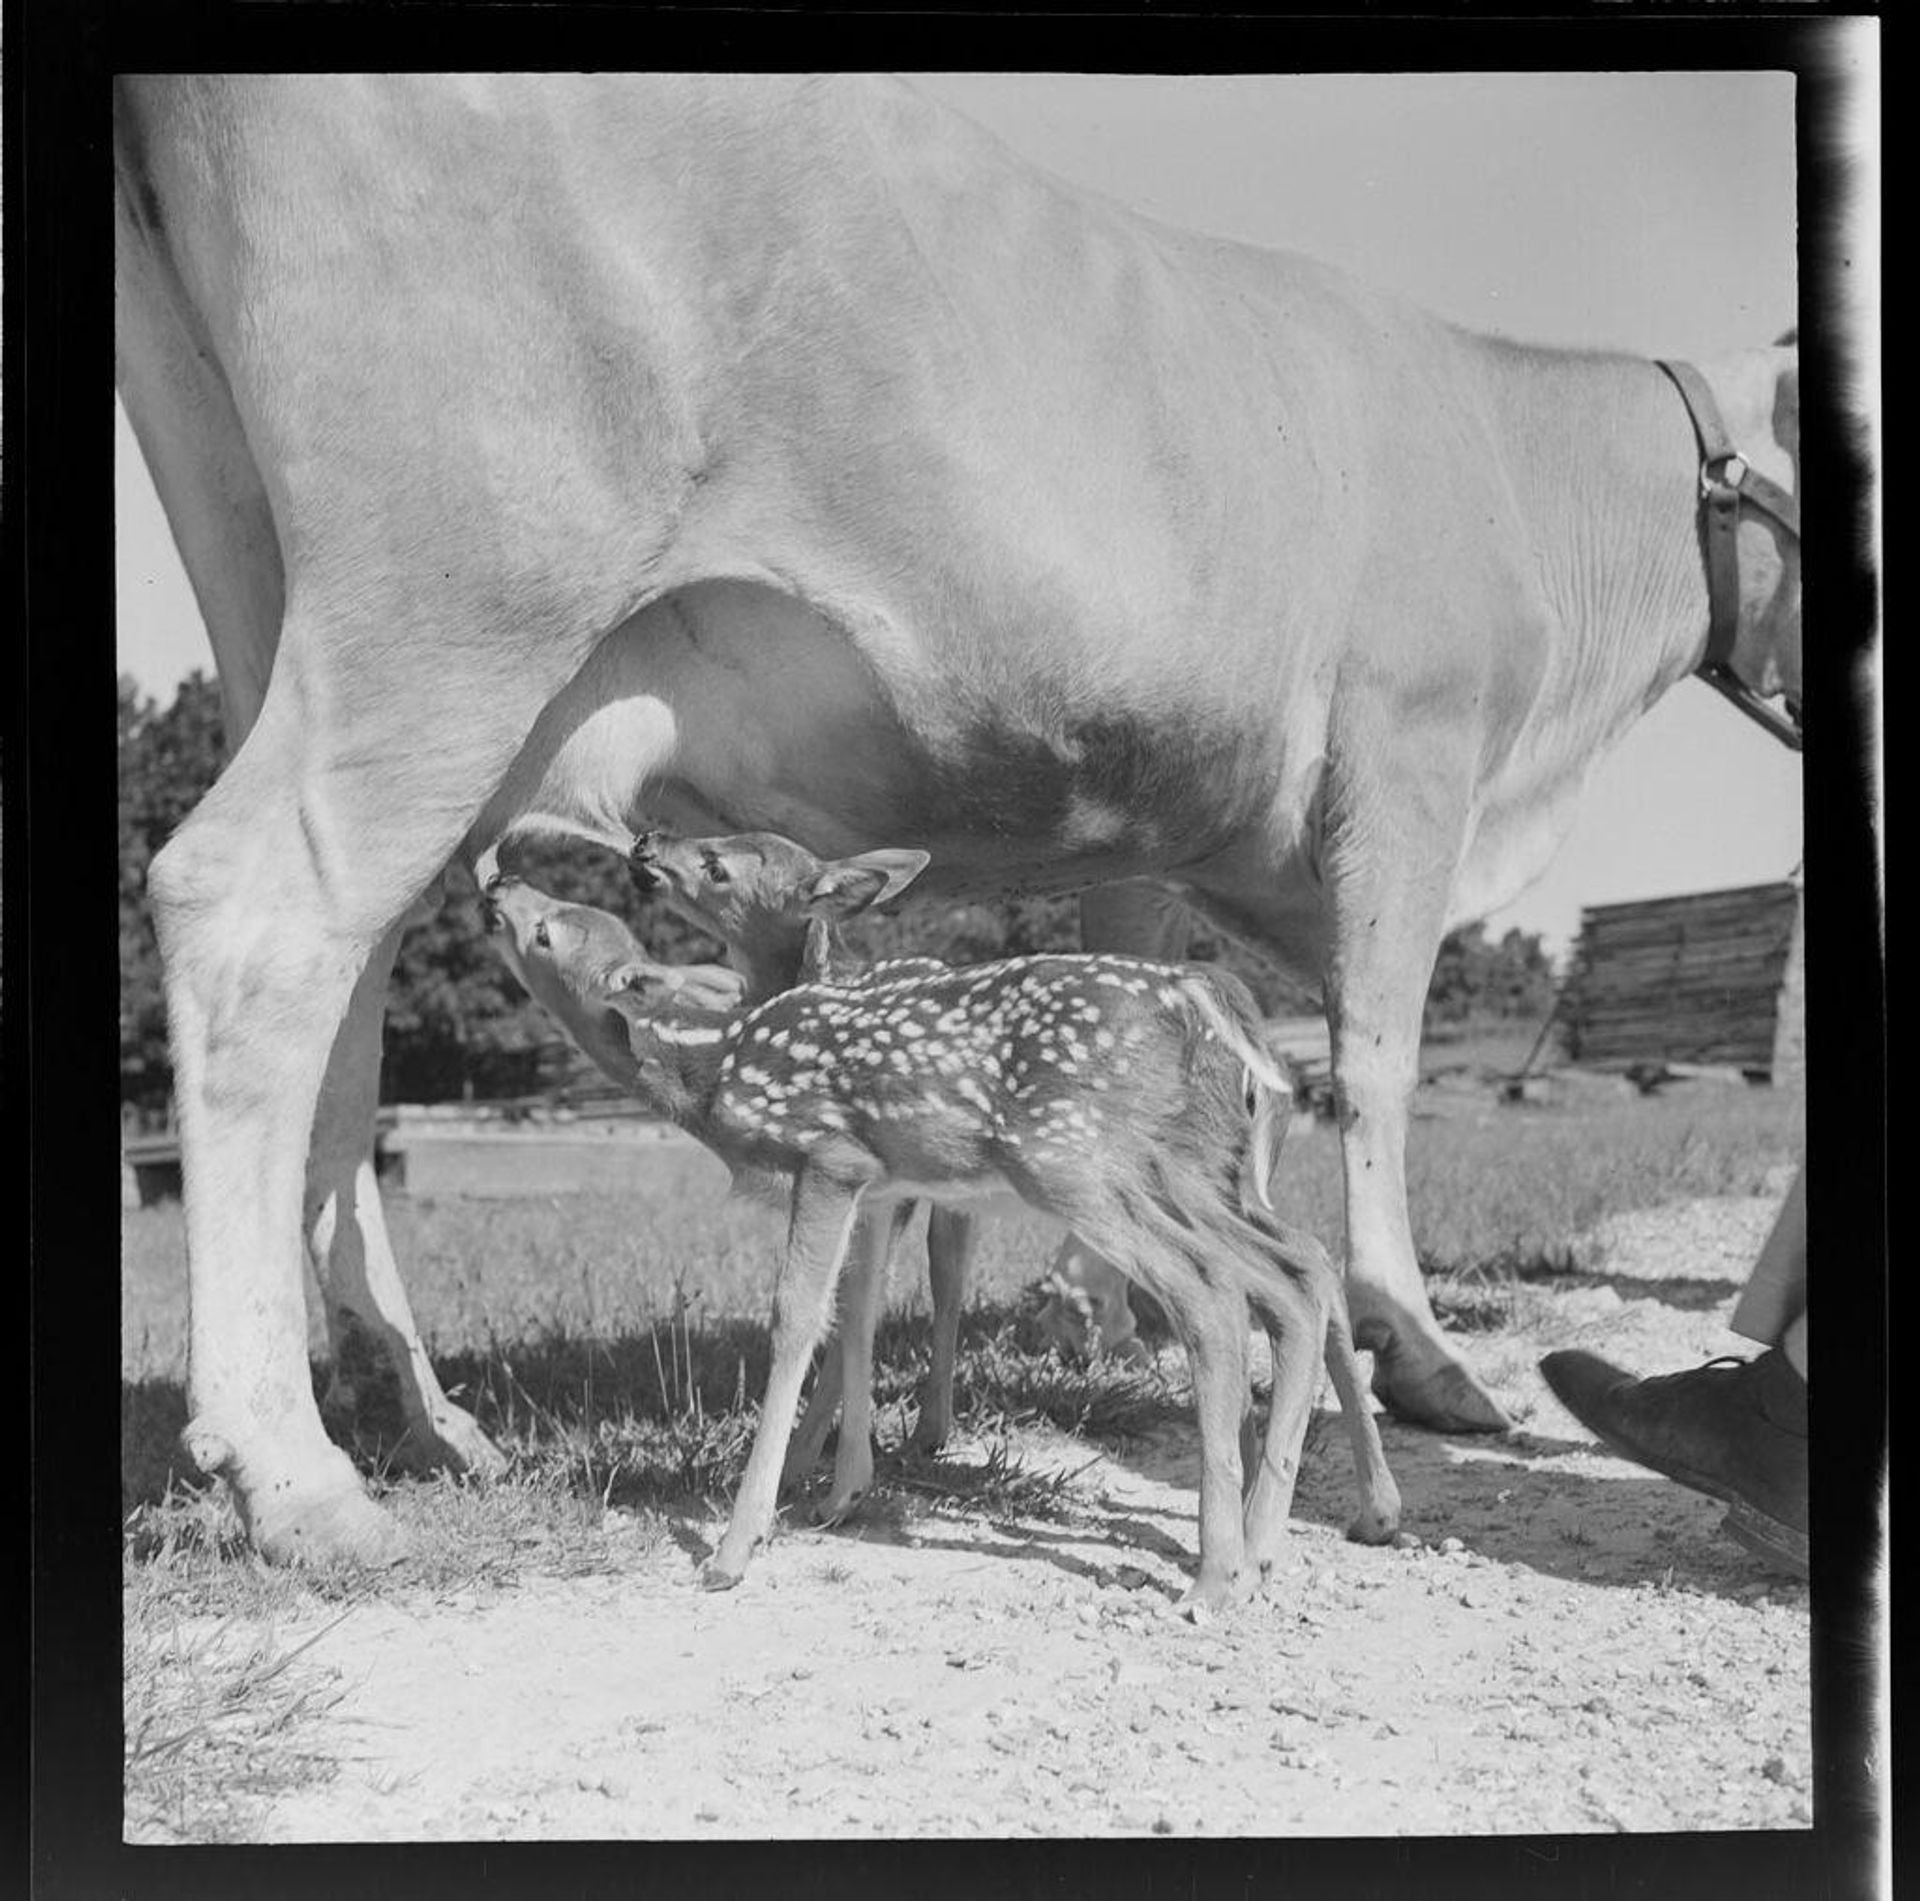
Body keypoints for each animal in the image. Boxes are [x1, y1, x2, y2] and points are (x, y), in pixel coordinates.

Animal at [115, 74, 1800, 1563]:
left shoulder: (1152, 828)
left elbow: (1141, 1018)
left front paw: (1100, 1308)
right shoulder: (1413, 754)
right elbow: (1375, 1067)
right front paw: (1421, 1346)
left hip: (269, 571)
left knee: (349, 989)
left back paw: (413, 1410)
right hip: (463, 581)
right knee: (258, 911)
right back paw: (291, 1468)